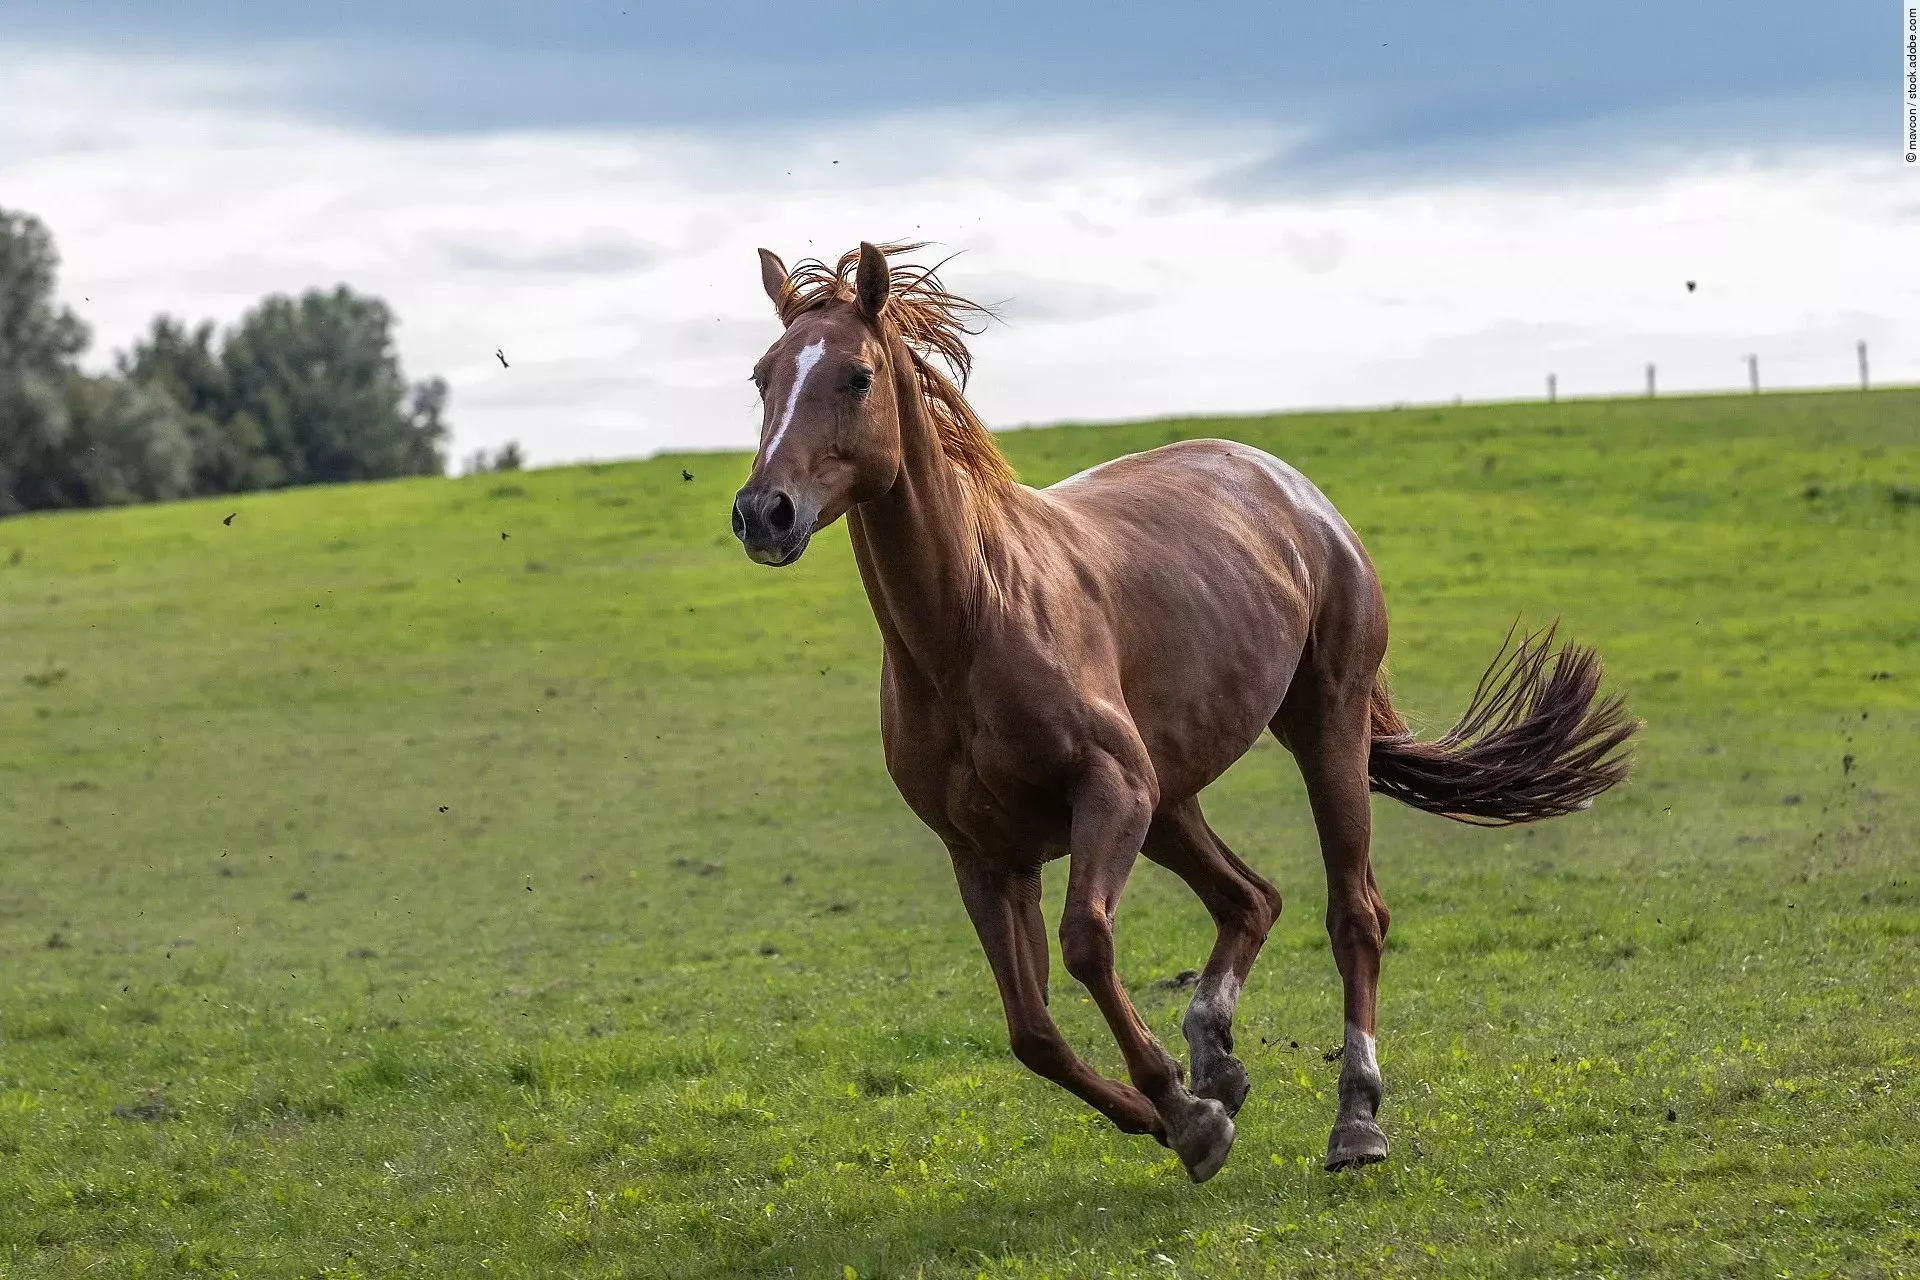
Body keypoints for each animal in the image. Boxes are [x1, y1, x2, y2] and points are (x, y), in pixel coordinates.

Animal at [729, 242, 1637, 1182]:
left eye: (857, 375)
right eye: (762, 377)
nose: (763, 513)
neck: (971, 620)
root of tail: (1294, 490)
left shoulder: (1111, 790)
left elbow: (1087, 944)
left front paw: (1188, 1113)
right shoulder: (982, 854)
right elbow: (1032, 1030)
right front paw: (1173, 1110)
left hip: (1322, 727)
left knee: (1354, 913)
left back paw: (1354, 1120)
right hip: (1171, 800)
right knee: (1251, 899)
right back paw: (1217, 1056)